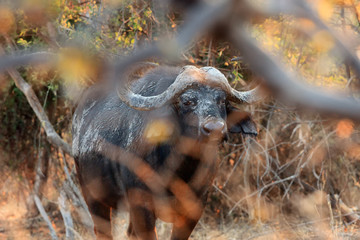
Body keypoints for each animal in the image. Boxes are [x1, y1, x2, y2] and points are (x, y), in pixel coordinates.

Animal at [71, 64, 260, 239]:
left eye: (222, 101)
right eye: (187, 101)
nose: (215, 129)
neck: (181, 171)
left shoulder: (195, 209)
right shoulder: (142, 207)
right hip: (93, 197)